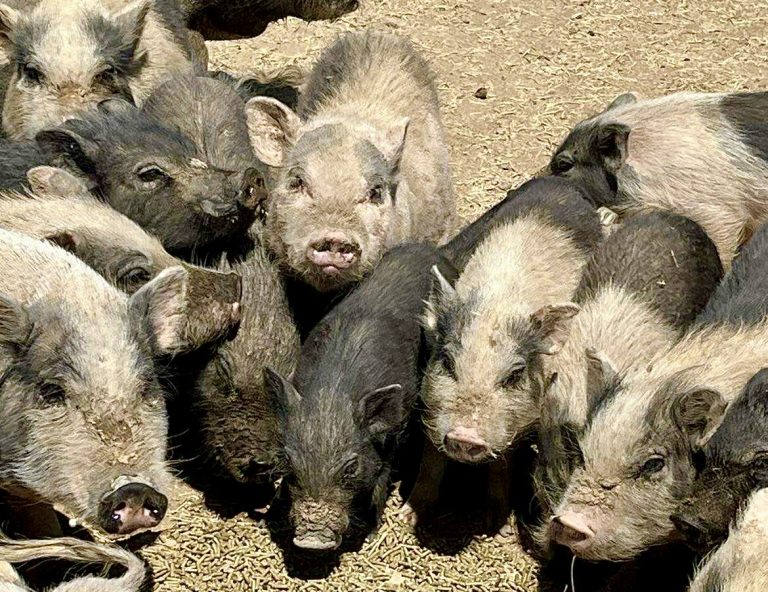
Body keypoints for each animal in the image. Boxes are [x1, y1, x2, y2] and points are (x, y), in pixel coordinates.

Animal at [264, 244, 457, 551]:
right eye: (289, 463)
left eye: (351, 467)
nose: (312, 541)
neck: (333, 392)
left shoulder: (396, 428)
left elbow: (383, 473)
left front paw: (369, 532)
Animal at [406, 187, 601, 526]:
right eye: (447, 362)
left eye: (514, 375)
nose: (466, 435)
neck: (497, 302)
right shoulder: (431, 402)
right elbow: (431, 457)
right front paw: (409, 514)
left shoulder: (520, 415)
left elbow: (502, 464)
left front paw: (491, 522)